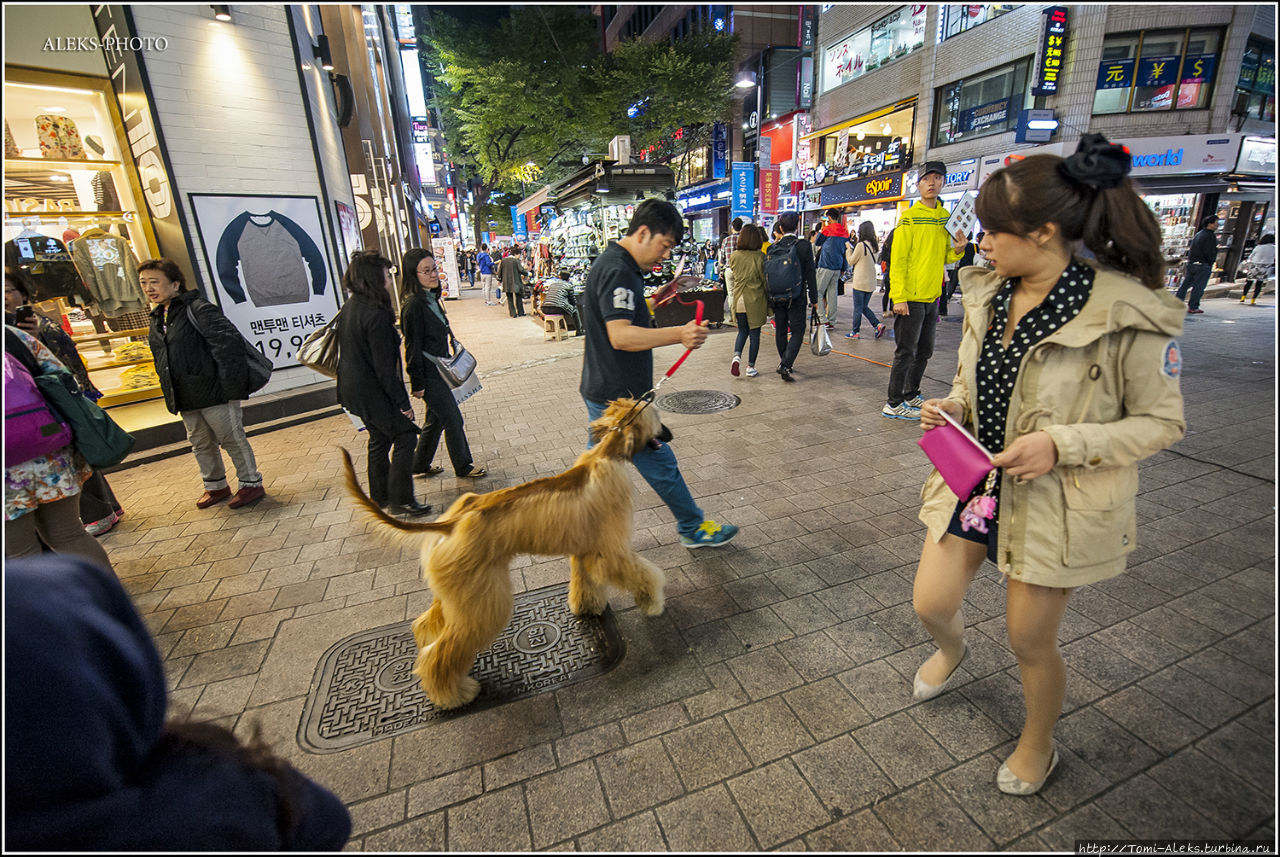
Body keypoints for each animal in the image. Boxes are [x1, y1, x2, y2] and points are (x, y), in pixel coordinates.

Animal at [345, 396, 675, 711]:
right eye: (657, 420)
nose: (670, 435)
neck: (606, 455)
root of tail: (451, 523)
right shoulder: (610, 550)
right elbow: (640, 573)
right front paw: (653, 601)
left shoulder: (584, 549)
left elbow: (586, 582)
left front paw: (588, 607)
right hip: (480, 596)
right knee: (442, 652)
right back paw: (454, 694)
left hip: (456, 589)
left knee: (427, 625)